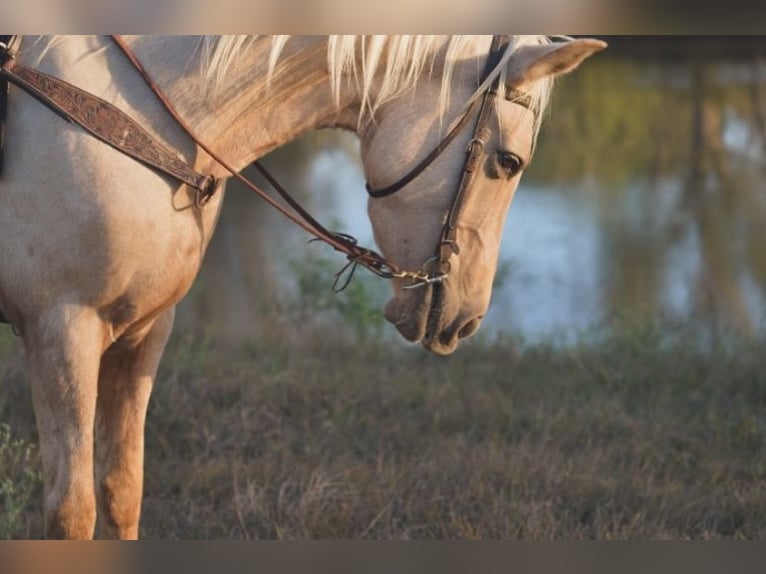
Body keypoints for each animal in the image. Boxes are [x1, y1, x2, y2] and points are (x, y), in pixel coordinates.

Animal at [0, 35, 605, 539]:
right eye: (509, 161)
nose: (468, 320)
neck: (133, 111)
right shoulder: (63, 329)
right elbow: (72, 513)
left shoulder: (144, 332)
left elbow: (122, 491)